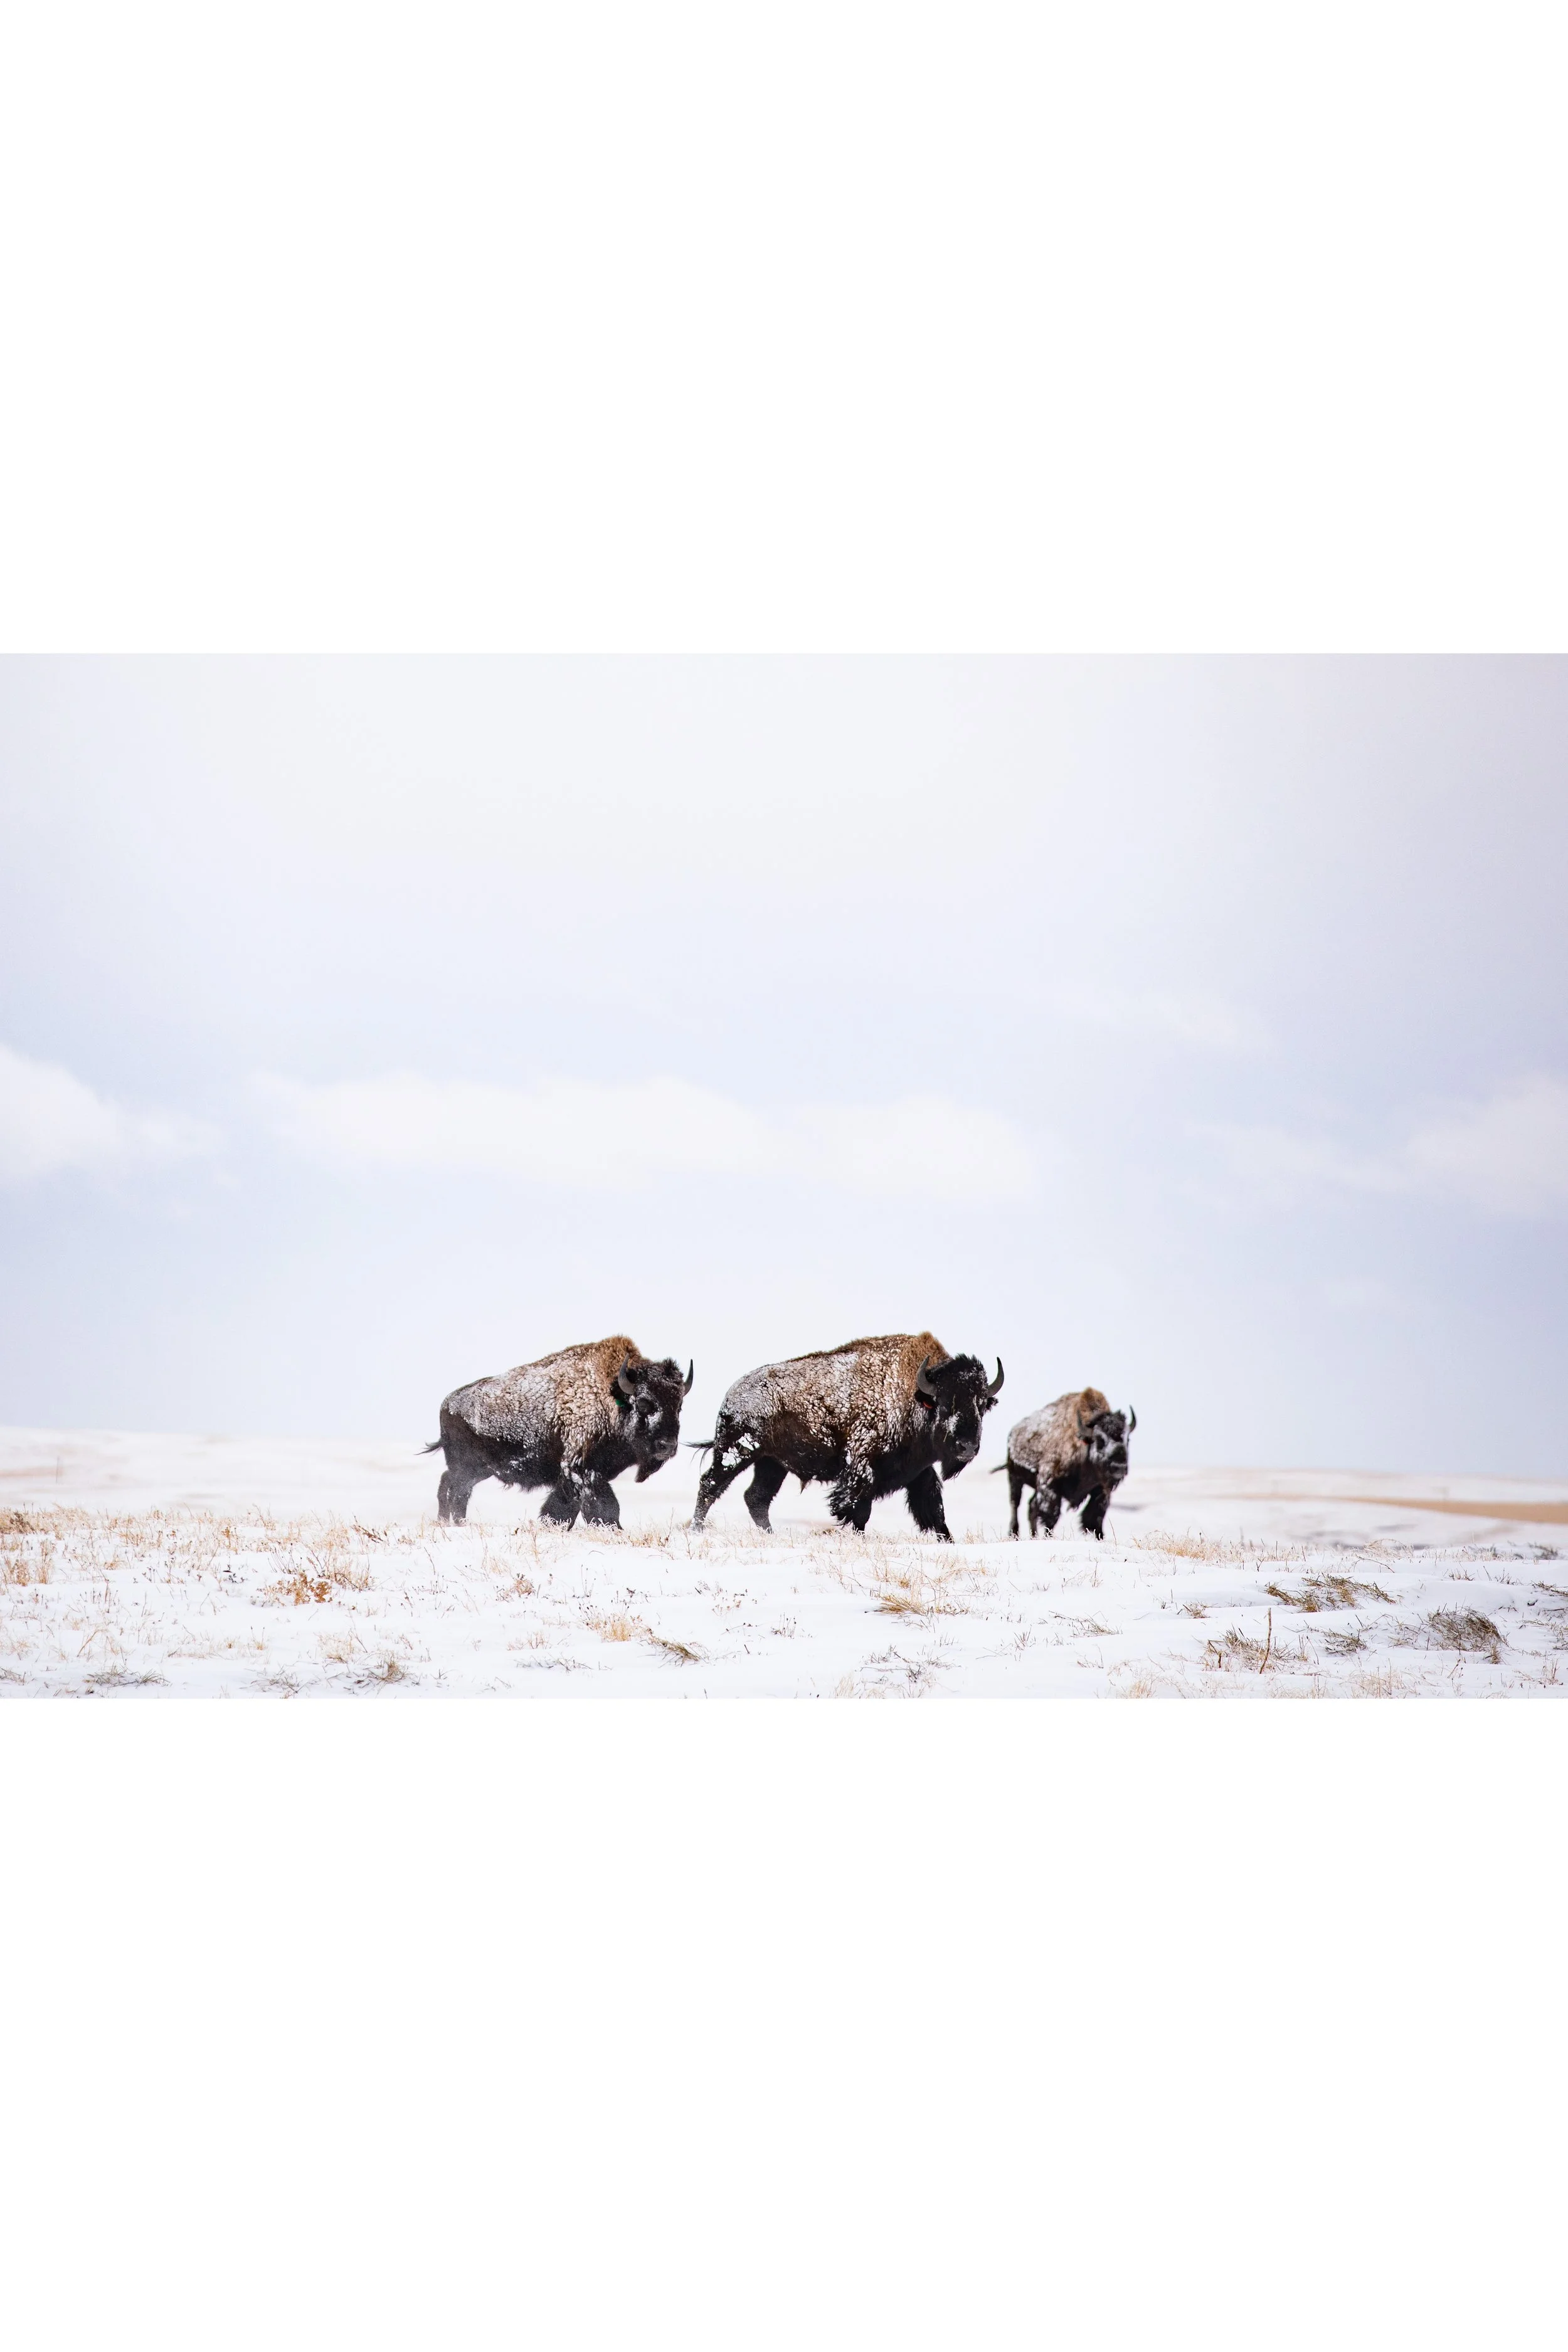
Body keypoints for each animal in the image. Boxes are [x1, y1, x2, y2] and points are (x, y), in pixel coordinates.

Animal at [424, 1335, 693, 1527]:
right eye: (645, 1403)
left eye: (679, 1406)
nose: (667, 1446)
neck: (611, 1396)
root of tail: (447, 1403)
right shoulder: (582, 1470)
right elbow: (604, 1508)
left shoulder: (574, 1477)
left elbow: (563, 1508)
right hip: (467, 1468)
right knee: (454, 1489)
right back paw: (454, 1523)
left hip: (479, 1470)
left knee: (451, 1486)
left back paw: (451, 1522)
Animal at [690, 1331, 1003, 1542]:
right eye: (944, 1402)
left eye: (981, 1405)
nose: (967, 1447)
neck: (913, 1395)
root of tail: (732, 1394)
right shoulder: (861, 1470)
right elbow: (858, 1510)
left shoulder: (919, 1472)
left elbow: (935, 1512)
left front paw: (948, 1541)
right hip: (737, 1451)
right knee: (710, 1485)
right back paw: (696, 1530)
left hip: (771, 1464)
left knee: (756, 1497)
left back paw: (770, 1535)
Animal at [1001, 1388, 1135, 1539]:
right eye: (1100, 1439)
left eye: (1127, 1440)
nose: (1119, 1467)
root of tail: (1014, 1432)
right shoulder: (1050, 1486)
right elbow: (1051, 1516)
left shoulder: (1100, 1489)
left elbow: (1096, 1516)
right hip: (1015, 1477)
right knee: (1016, 1503)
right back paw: (1014, 1533)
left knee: (1031, 1507)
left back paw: (1033, 1536)